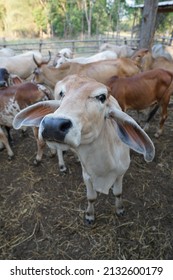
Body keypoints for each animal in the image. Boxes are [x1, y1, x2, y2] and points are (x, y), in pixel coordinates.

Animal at [12, 74, 155, 223]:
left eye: (102, 97)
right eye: (63, 94)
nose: (53, 125)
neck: (104, 168)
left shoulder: (121, 173)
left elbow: (118, 193)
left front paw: (119, 209)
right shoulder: (87, 176)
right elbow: (91, 198)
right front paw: (90, 215)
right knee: (59, 150)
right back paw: (62, 166)